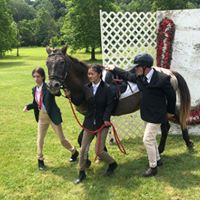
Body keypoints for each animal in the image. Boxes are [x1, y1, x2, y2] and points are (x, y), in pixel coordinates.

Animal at [45, 45, 194, 153]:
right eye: (47, 63)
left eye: (62, 62)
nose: (53, 85)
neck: (88, 83)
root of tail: (170, 73)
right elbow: (91, 136)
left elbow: (83, 139)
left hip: (163, 107)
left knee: (170, 123)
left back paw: (171, 147)